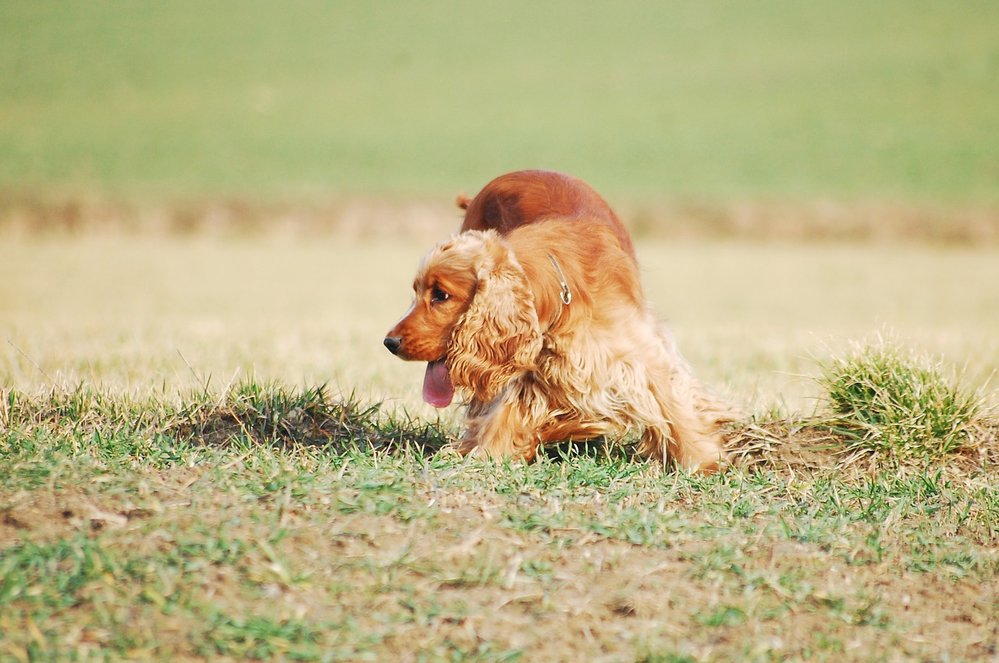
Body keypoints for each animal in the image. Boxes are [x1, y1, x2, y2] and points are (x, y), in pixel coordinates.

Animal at [380, 214, 728, 472]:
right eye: (416, 291)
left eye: (441, 295)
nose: (389, 342)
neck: (560, 299)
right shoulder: (525, 371)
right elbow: (504, 415)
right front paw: (486, 453)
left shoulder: (640, 352)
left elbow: (673, 406)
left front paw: (704, 461)